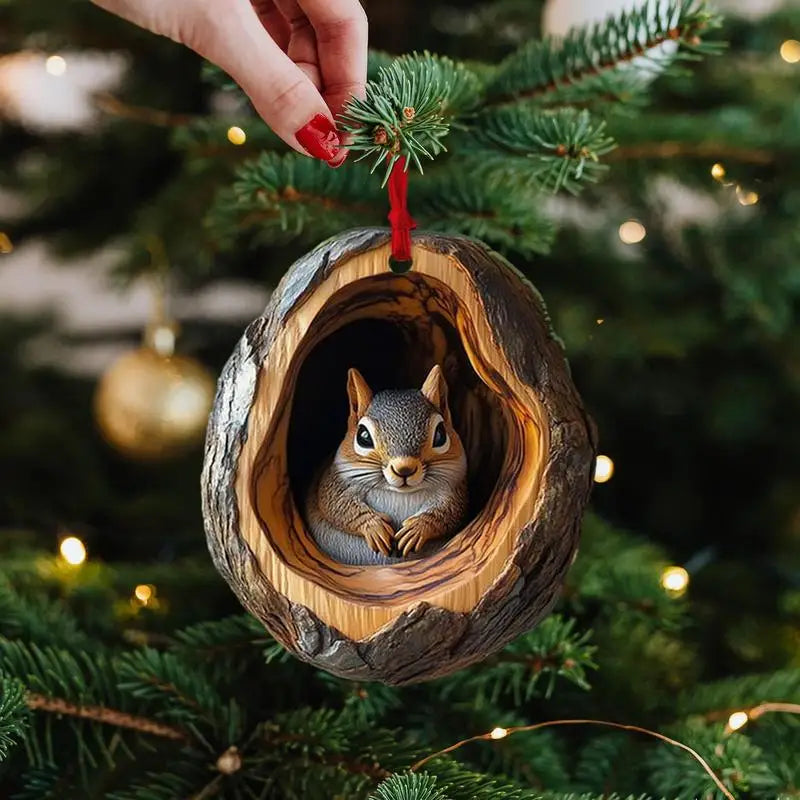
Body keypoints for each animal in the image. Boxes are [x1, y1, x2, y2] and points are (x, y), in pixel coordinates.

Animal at [304, 365, 469, 566]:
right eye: (363, 436)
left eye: (440, 435)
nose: (404, 469)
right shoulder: (336, 481)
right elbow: (335, 505)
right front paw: (374, 527)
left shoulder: (452, 489)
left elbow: (451, 511)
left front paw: (417, 528)